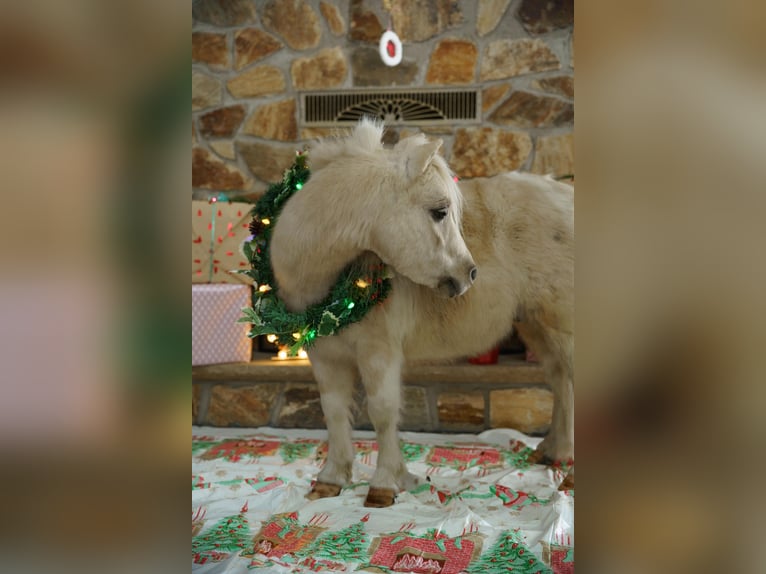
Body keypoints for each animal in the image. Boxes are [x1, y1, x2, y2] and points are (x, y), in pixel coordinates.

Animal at [268, 119, 574, 507]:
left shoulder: (379, 352)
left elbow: (382, 413)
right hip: (539, 328)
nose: (469, 274)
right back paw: (553, 451)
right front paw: (331, 479)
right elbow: (334, 412)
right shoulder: (324, 356)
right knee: (561, 383)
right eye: (440, 211)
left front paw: (385, 483)